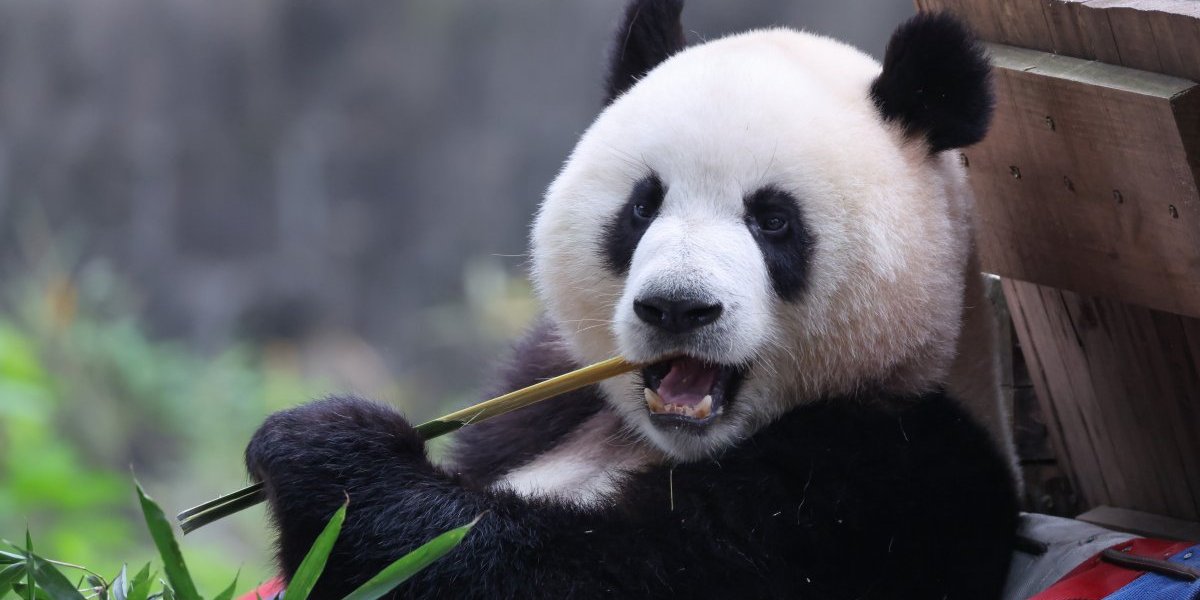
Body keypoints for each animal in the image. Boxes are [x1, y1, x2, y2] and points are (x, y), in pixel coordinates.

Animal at [244, 1, 1020, 598]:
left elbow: (562, 572)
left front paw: (325, 448)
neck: (655, 440)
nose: (677, 307)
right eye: (642, 207)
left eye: (773, 220)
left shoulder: (882, 486)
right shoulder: (543, 394)